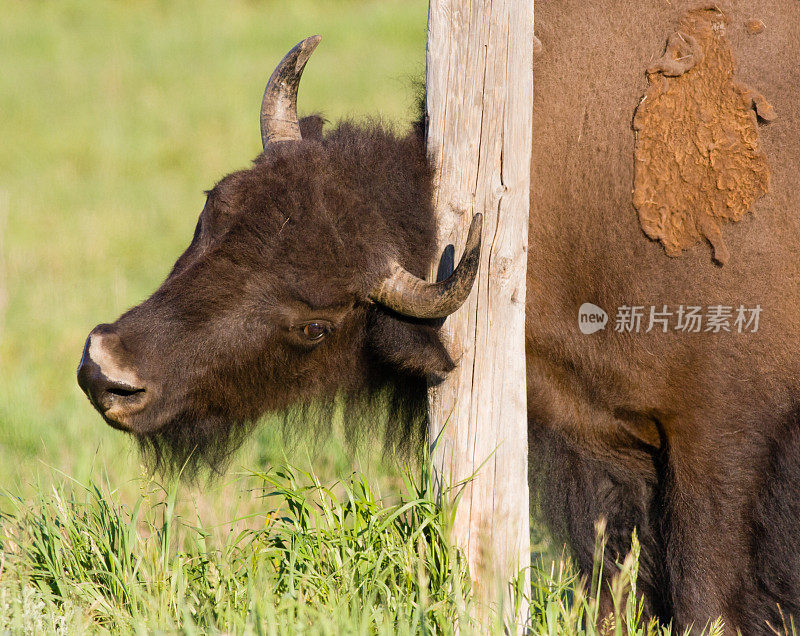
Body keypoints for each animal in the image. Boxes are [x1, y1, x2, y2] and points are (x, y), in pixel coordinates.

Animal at [79, 1, 800, 632]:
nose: (108, 369)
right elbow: (619, 585)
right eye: (215, 207)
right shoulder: (599, 446)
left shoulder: (719, 439)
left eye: (315, 325)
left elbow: (705, 593)